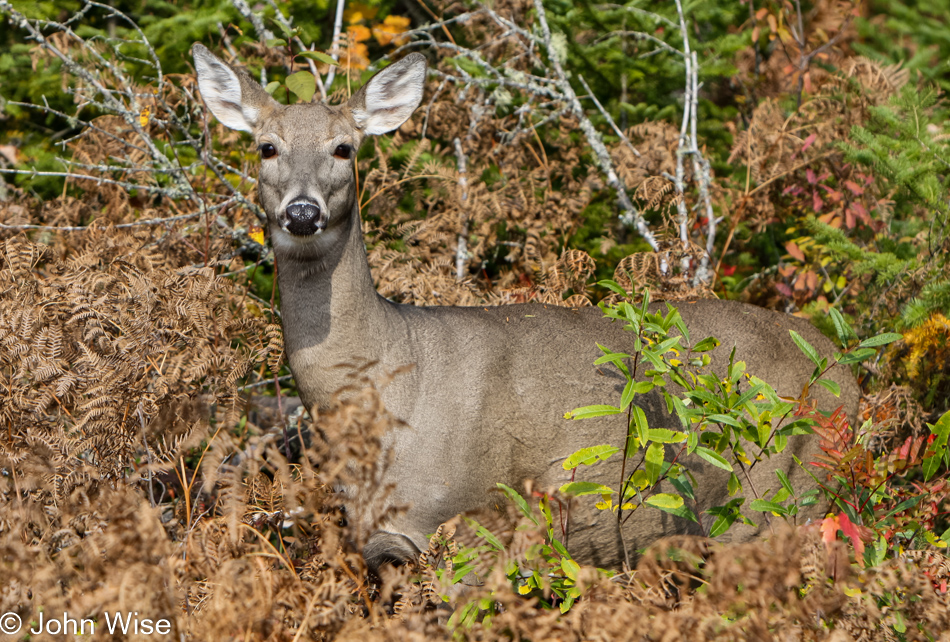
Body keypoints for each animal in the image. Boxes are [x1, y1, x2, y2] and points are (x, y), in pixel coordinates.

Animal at [193, 45, 864, 572]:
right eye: (266, 147)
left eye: (343, 149)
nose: (302, 212)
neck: (390, 381)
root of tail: (845, 368)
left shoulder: (466, 520)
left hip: (789, 493)